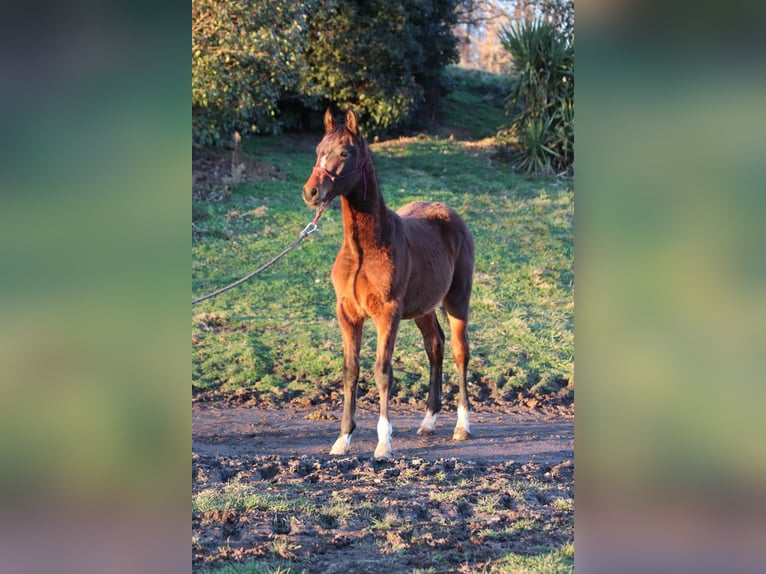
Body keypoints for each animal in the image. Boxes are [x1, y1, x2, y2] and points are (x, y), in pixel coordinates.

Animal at [304, 107, 474, 460]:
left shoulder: (387, 314)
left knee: (458, 350)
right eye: (318, 150)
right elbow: (350, 371)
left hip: (457, 301)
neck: (363, 250)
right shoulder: (348, 315)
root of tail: (449, 213)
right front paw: (343, 439)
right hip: (424, 308)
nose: (311, 192)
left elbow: (383, 372)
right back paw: (428, 421)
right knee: (435, 346)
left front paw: (384, 443)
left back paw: (462, 426)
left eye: (345, 152)